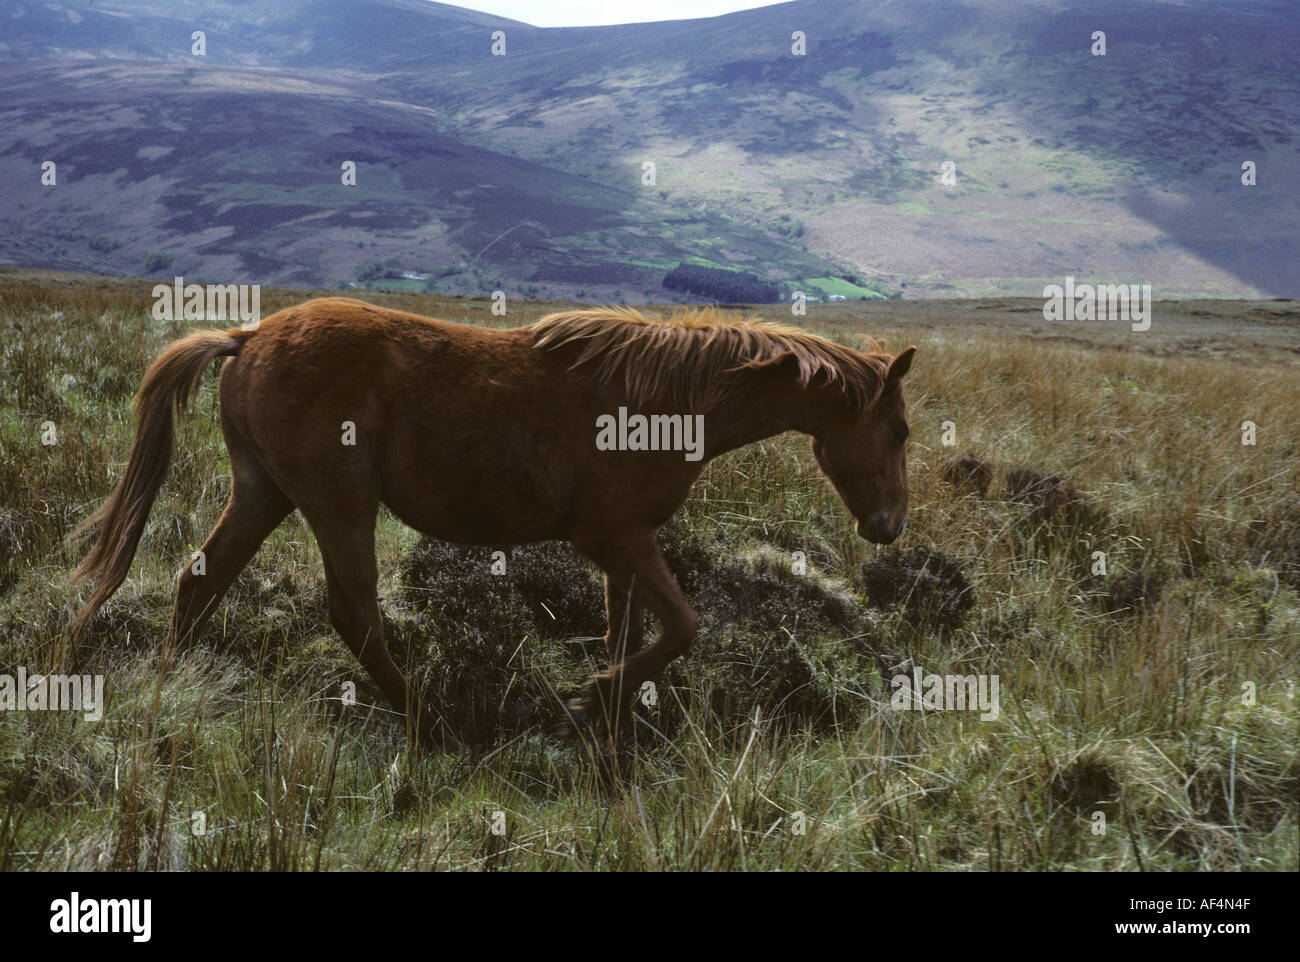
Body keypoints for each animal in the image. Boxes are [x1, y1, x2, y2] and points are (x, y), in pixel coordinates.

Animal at [68, 296, 915, 748]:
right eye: (901, 432)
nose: (889, 527)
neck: (671, 403)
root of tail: (246, 338)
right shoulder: (612, 536)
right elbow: (680, 628)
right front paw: (590, 700)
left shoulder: (624, 547)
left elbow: (632, 630)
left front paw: (605, 723)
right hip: (338, 506)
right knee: (352, 612)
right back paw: (430, 724)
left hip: (262, 493)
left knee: (199, 582)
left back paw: (169, 692)